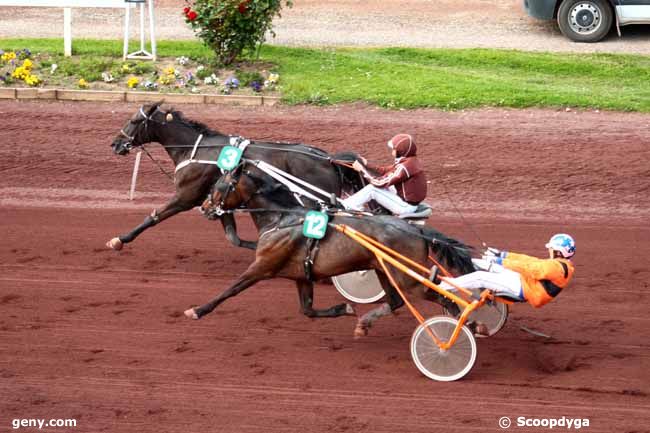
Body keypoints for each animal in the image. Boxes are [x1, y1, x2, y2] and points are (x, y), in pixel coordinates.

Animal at [106, 101, 360, 250]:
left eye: (134, 121)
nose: (115, 144)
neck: (195, 149)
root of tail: (328, 159)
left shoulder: (185, 197)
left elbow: (153, 216)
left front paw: (119, 239)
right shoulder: (218, 199)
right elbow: (233, 237)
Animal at [186, 160, 470, 336]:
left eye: (220, 186)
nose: (205, 207)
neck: (282, 219)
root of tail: (416, 229)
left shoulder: (262, 266)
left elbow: (230, 289)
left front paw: (197, 310)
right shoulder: (302, 275)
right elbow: (308, 310)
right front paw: (344, 308)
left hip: (407, 278)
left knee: (443, 296)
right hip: (384, 270)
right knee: (396, 301)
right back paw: (365, 324)